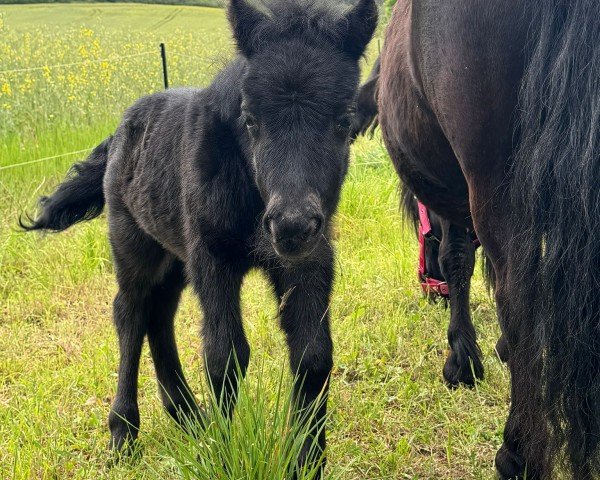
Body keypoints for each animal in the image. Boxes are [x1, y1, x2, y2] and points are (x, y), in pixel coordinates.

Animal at [21, 0, 378, 472]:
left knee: (159, 314)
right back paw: (124, 431)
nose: (292, 225)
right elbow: (224, 356)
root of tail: (120, 131)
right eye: (251, 120)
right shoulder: (212, 257)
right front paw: (225, 454)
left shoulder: (310, 260)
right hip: (135, 244)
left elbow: (313, 354)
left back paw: (188, 415)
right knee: (130, 311)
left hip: (175, 256)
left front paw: (307, 463)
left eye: (344, 121)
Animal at [380, 1, 600, 478]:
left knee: (520, 297)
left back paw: (518, 452)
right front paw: (498, 349)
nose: (429, 292)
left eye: (421, 242)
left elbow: (458, 259)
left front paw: (462, 361)